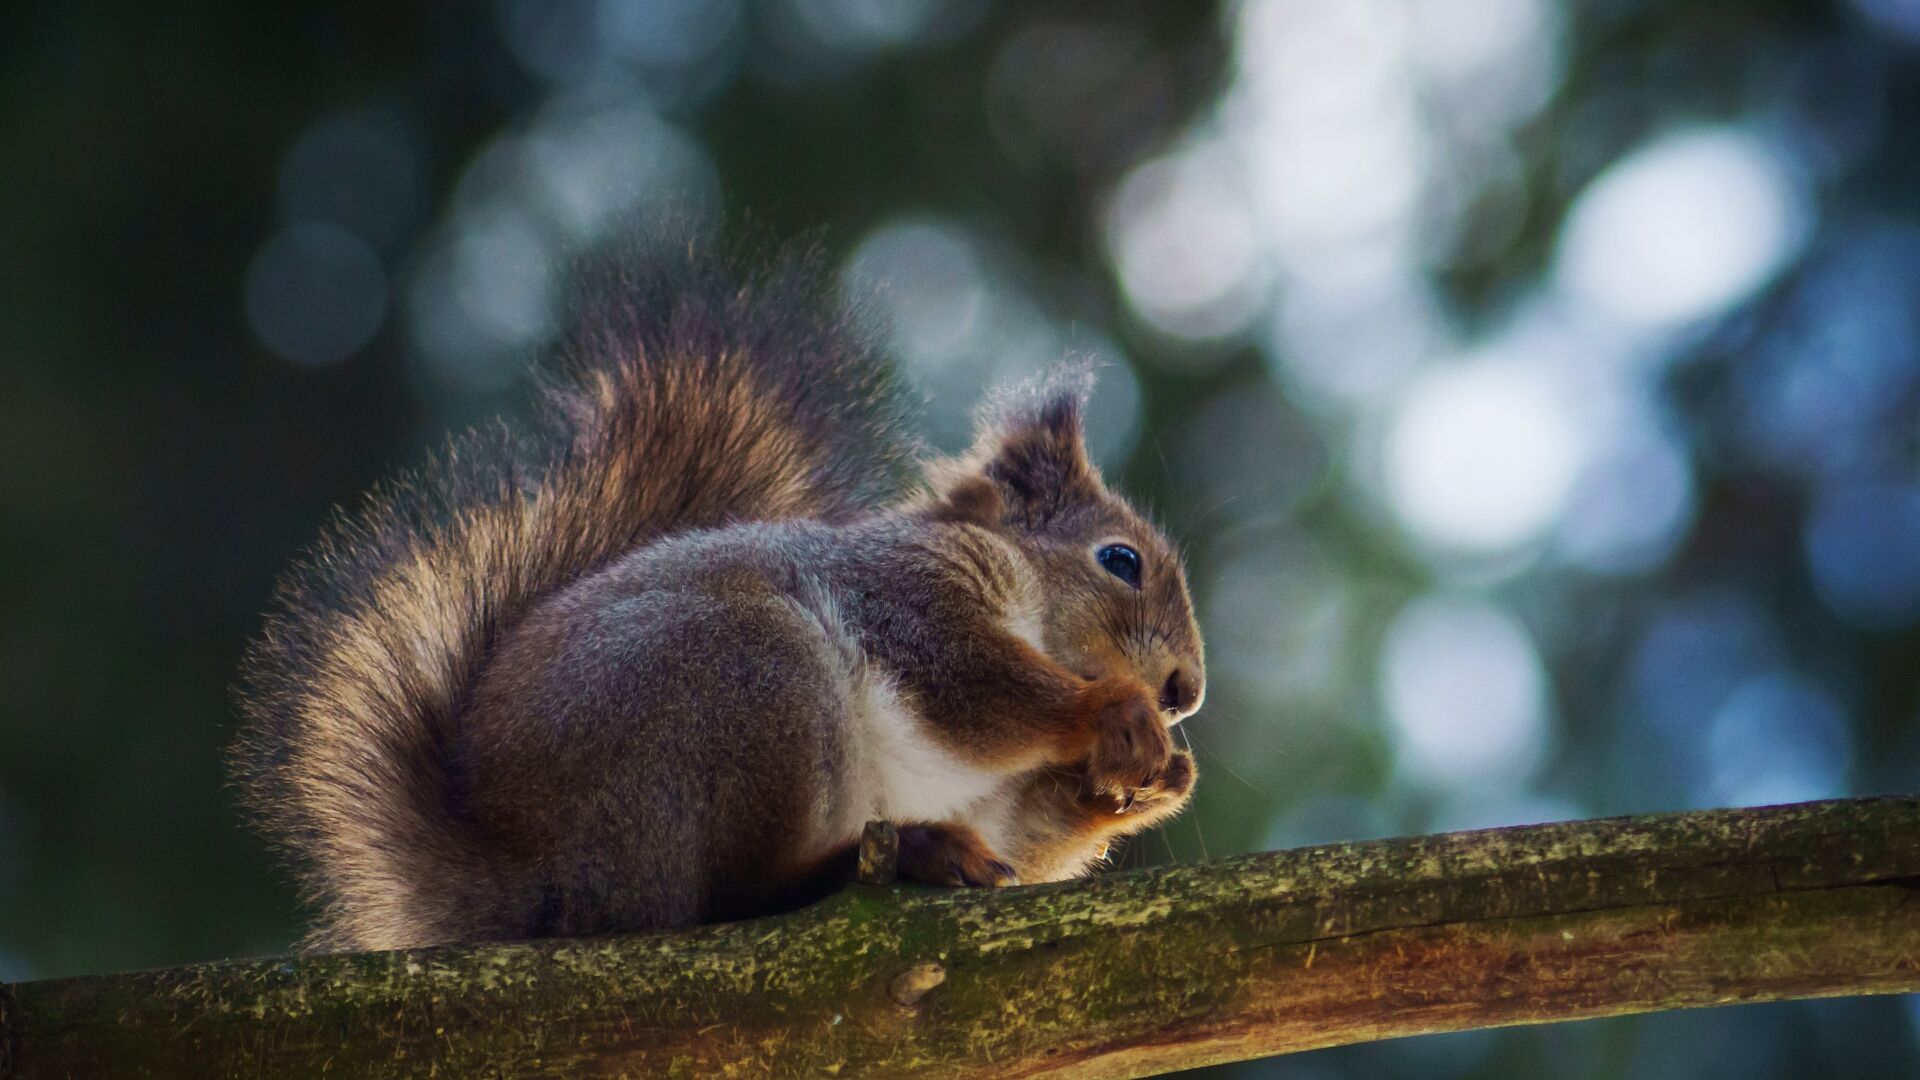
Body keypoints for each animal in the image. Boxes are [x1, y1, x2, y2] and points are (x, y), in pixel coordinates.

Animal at [236, 228, 1198, 949]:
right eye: (1121, 560)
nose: (1185, 691)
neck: (1022, 583)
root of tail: (541, 878)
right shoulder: (908, 595)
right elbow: (968, 680)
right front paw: (1110, 710)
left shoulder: (1000, 797)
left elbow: (1026, 827)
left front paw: (1159, 779)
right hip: (752, 677)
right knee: (734, 897)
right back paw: (896, 856)